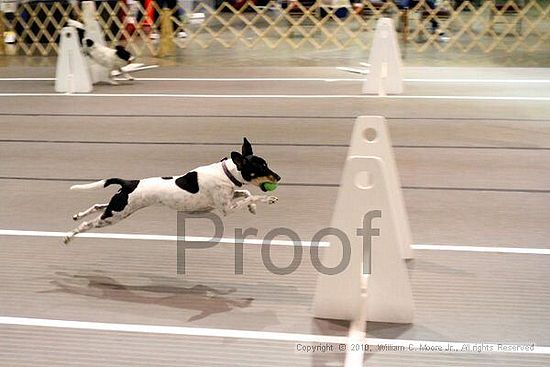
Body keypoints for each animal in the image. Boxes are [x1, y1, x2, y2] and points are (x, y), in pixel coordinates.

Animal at [62, 139, 282, 246]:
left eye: (266, 164)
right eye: (261, 168)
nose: (279, 177)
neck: (226, 172)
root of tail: (129, 183)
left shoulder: (230, 198)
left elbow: (245, 192)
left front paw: (253, 208)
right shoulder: (227, 208)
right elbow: (254, 194)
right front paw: (269, 198)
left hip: (118, 207)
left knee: (98, 206)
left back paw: (77, 215)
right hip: (115, 215)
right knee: (88, 224)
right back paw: (69, 236)